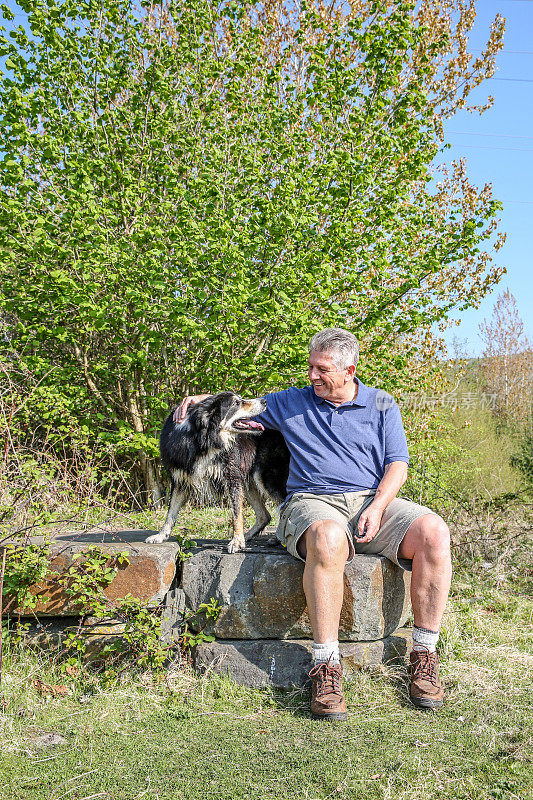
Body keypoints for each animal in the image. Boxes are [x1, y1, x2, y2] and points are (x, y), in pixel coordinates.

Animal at [143, 390, 288, 552]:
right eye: (236, 403)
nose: (264, 401)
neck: (203, 439)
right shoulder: (180, 480)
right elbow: (171, 513)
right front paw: (161, 536)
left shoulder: (232, 477)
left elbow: (236, 514)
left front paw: (236, 541)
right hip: (248, 479)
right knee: (265, 515)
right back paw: (250, 536)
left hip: (265, 477)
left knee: (284, 505)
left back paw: (277, 539)